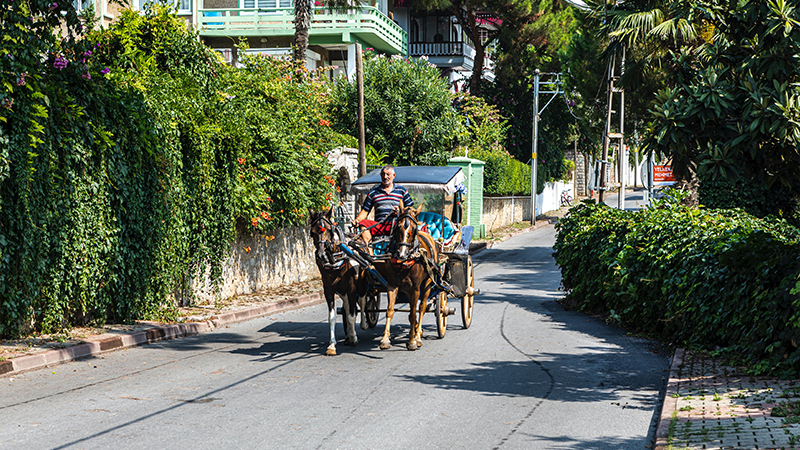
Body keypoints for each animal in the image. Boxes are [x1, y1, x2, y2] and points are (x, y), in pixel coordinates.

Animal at [310, 210, 368, 356]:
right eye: (312, 232)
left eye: (329, 230)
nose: (321, 256)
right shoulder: (329, 290)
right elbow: (333, 317)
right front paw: (332, 345)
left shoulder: (352, 289)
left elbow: (353, 314)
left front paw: (354, 338)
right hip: (342, 291)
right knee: (347, 307)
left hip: (361, 284)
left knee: (363, 301)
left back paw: (363, 325)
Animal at [374, 204, 440, 352]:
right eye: (398, 227)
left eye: (414, 229)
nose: (401, 254)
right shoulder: (392, 285)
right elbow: (390, 311)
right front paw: (385, 340)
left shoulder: (415, 288)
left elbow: (413, 314)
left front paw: (412, 341)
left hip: (427, 282)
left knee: (421, 307)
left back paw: (418, 336)